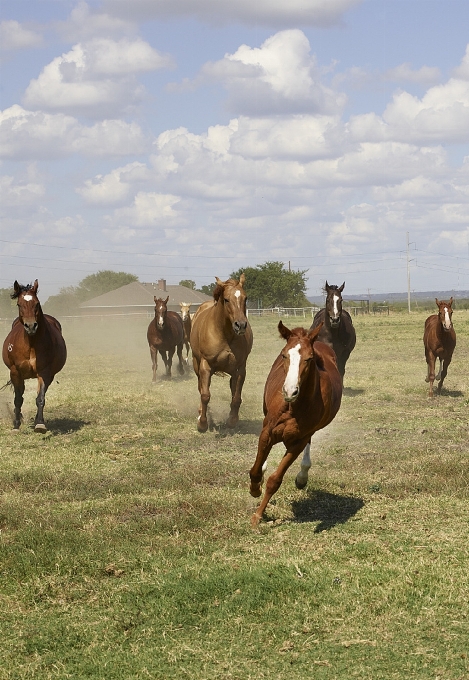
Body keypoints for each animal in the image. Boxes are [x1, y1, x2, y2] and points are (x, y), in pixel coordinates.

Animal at [1, 280, 66, 430]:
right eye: (19, 304)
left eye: (37, 303)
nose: (31, 326)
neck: (31, 344)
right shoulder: (15, 372)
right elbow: (18, 399)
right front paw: (16, 425)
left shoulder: (45, 372)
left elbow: (40, 398)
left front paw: (40, 423)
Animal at [190, 274, 252, 432]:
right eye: (226, 299)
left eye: (245, 298)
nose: (240, 325)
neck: (225, 334)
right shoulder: (205, 366)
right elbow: (205, 395)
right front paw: (202, 423)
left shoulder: (240, 368)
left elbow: (236, 398)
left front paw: (232, 421)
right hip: (196, 364)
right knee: (200, 387)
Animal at [249, 322, 340, 528]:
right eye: (284, 355)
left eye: (309, 358)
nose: (290, 391)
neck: (292, 408)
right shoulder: (267, 432)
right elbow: (256, 470)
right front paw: (255, 489)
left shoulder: (299, 441)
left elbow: (275, 480)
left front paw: (257, 516)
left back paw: (302, 477)